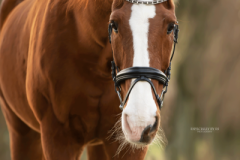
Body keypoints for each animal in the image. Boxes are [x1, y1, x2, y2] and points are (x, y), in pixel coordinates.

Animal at [0, 0, 176, 159]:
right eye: (114, 25)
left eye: (170, 27)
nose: (139, 121)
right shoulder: (58, 138)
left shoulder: (127, 147)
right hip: (22, 132)